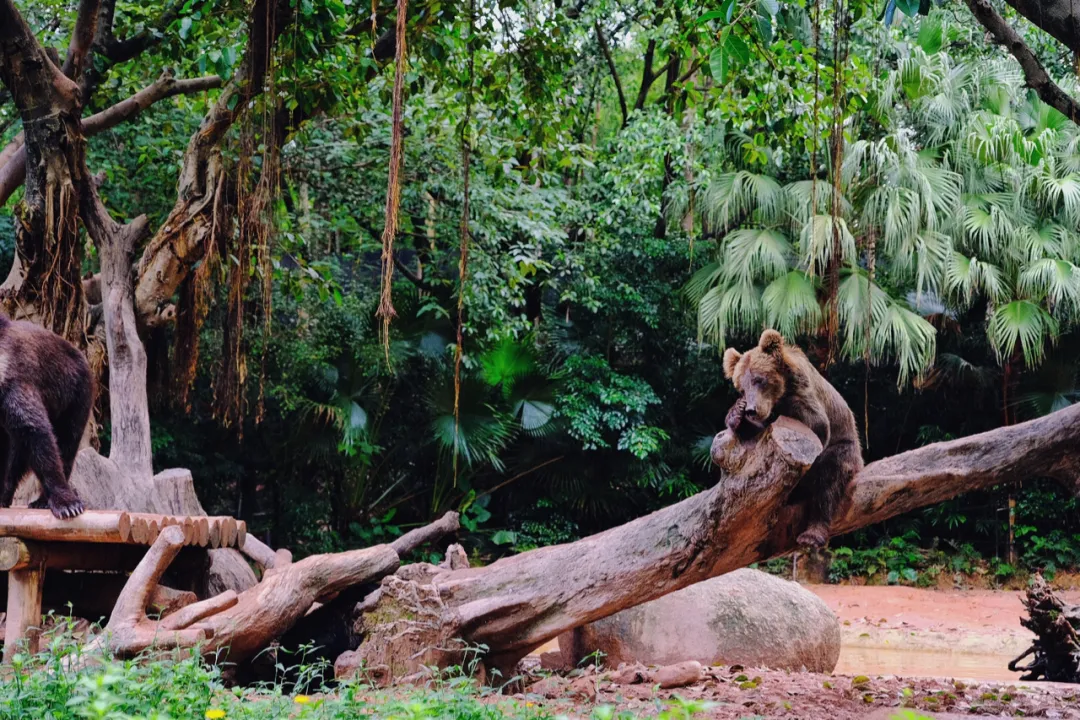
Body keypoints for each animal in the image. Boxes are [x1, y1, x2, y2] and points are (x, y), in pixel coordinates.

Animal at [0, 313, 91, 518]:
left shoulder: (14, 383)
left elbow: (37, 433)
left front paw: (68, 505)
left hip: (73, 396)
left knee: (66, 443)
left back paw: (40, 501)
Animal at [721, 330, 864, 548]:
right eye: (741, 387)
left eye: (759, 379)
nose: (752, 410)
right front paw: (736, 414)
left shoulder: (806, 393)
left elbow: (818, 424)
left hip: (846, 449)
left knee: (829, 479)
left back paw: (812, 534)